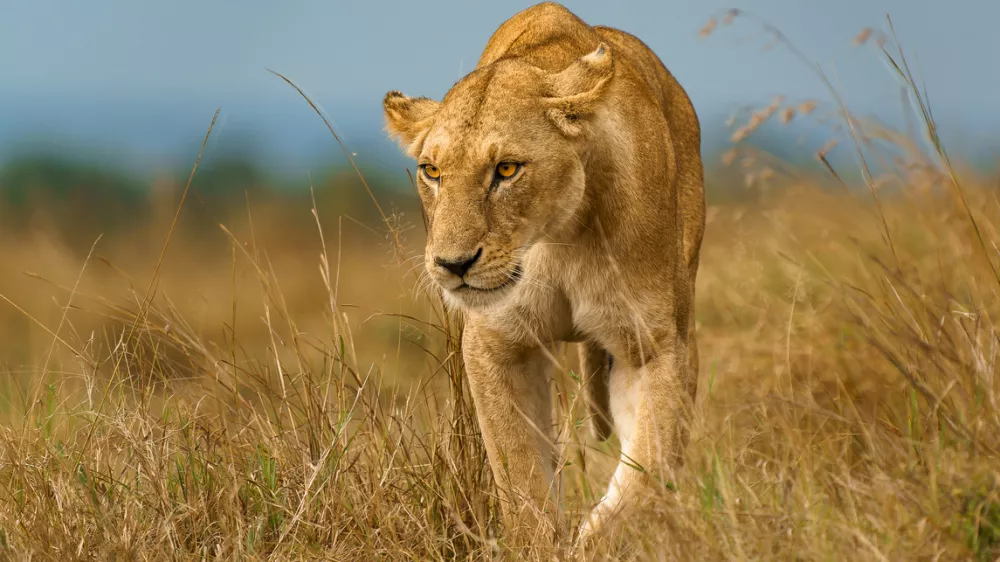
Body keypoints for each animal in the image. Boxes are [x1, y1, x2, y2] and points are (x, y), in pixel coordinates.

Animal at [382, 1, 705, 547]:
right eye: (432, 171)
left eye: (507, 170)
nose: (452, 264)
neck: (558, 239)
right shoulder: (496, 345)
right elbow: (520, 481)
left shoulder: (655, 344)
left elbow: (644, 478)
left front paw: (594, 542)